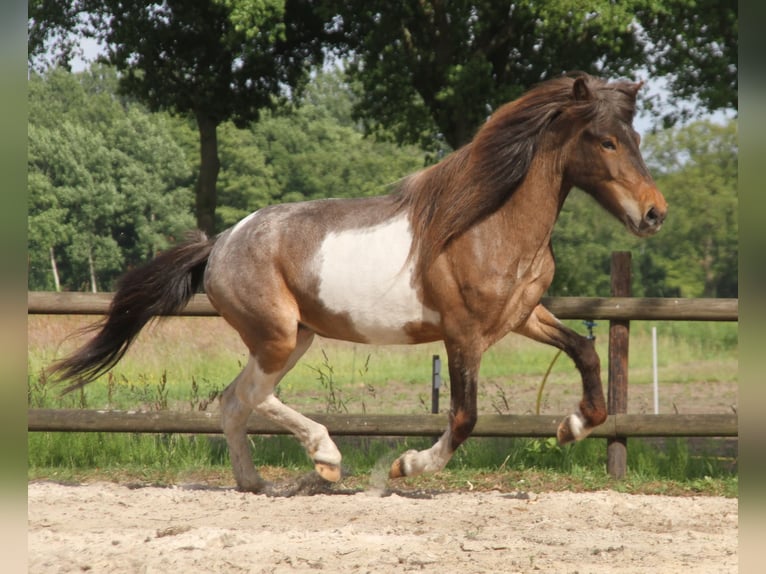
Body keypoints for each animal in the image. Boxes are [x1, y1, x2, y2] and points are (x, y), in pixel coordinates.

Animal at [50, 73, 667, 492]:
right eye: (606, 141)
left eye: (636, 138)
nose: (654, 213)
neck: (486, 224)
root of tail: (220, 243)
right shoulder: (462, 334)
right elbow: (464, 415)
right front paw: (406, 465)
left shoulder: (522, 316)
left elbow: (586, 350)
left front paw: (571, 427)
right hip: (278, 336)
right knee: (248, 396)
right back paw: (325, 459)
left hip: (296, 336)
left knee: (233, 401)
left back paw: (259, 483)